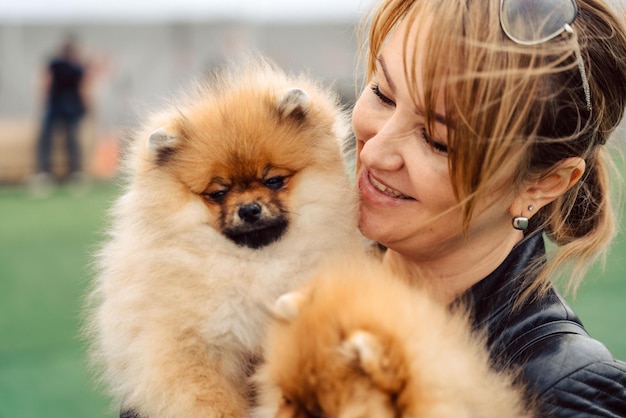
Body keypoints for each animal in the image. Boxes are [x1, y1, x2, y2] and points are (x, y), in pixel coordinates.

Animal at [85, 59, 364, 418]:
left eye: (274, 180)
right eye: (218, 193)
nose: (249, 209)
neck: (254, 266)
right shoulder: (186, 348)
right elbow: (209, 402)